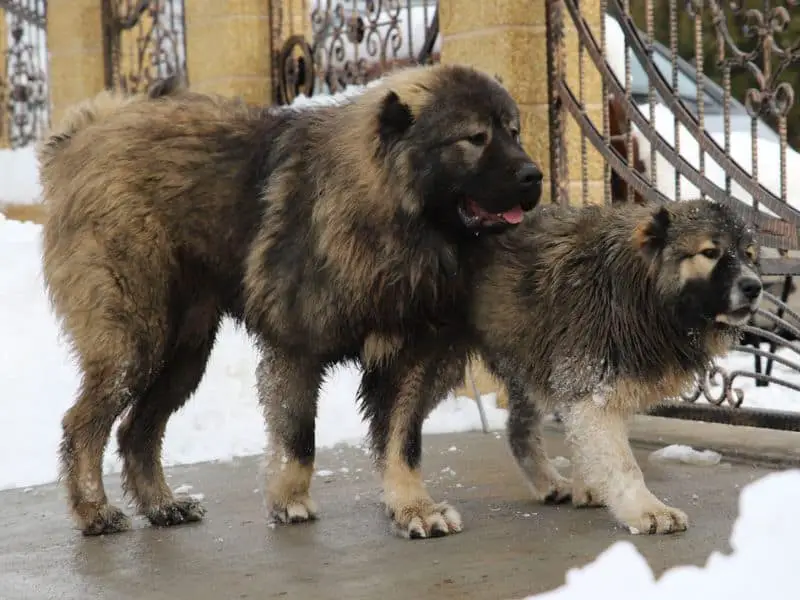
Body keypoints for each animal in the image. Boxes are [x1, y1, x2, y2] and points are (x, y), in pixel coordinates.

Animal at [40, 65, 544, 540]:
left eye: (514, 132)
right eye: (475, 139)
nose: (533, 175)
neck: (390, 215)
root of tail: (82, 137)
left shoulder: (408, 356)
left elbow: (403, 443)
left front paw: (413, 508)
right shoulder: (297, 346)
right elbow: (299, 437)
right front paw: (290, 502)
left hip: (184, 353)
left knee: (136, 430)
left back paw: (163, 505)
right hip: (137, 342)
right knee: (81, 425)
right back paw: (95, 511)